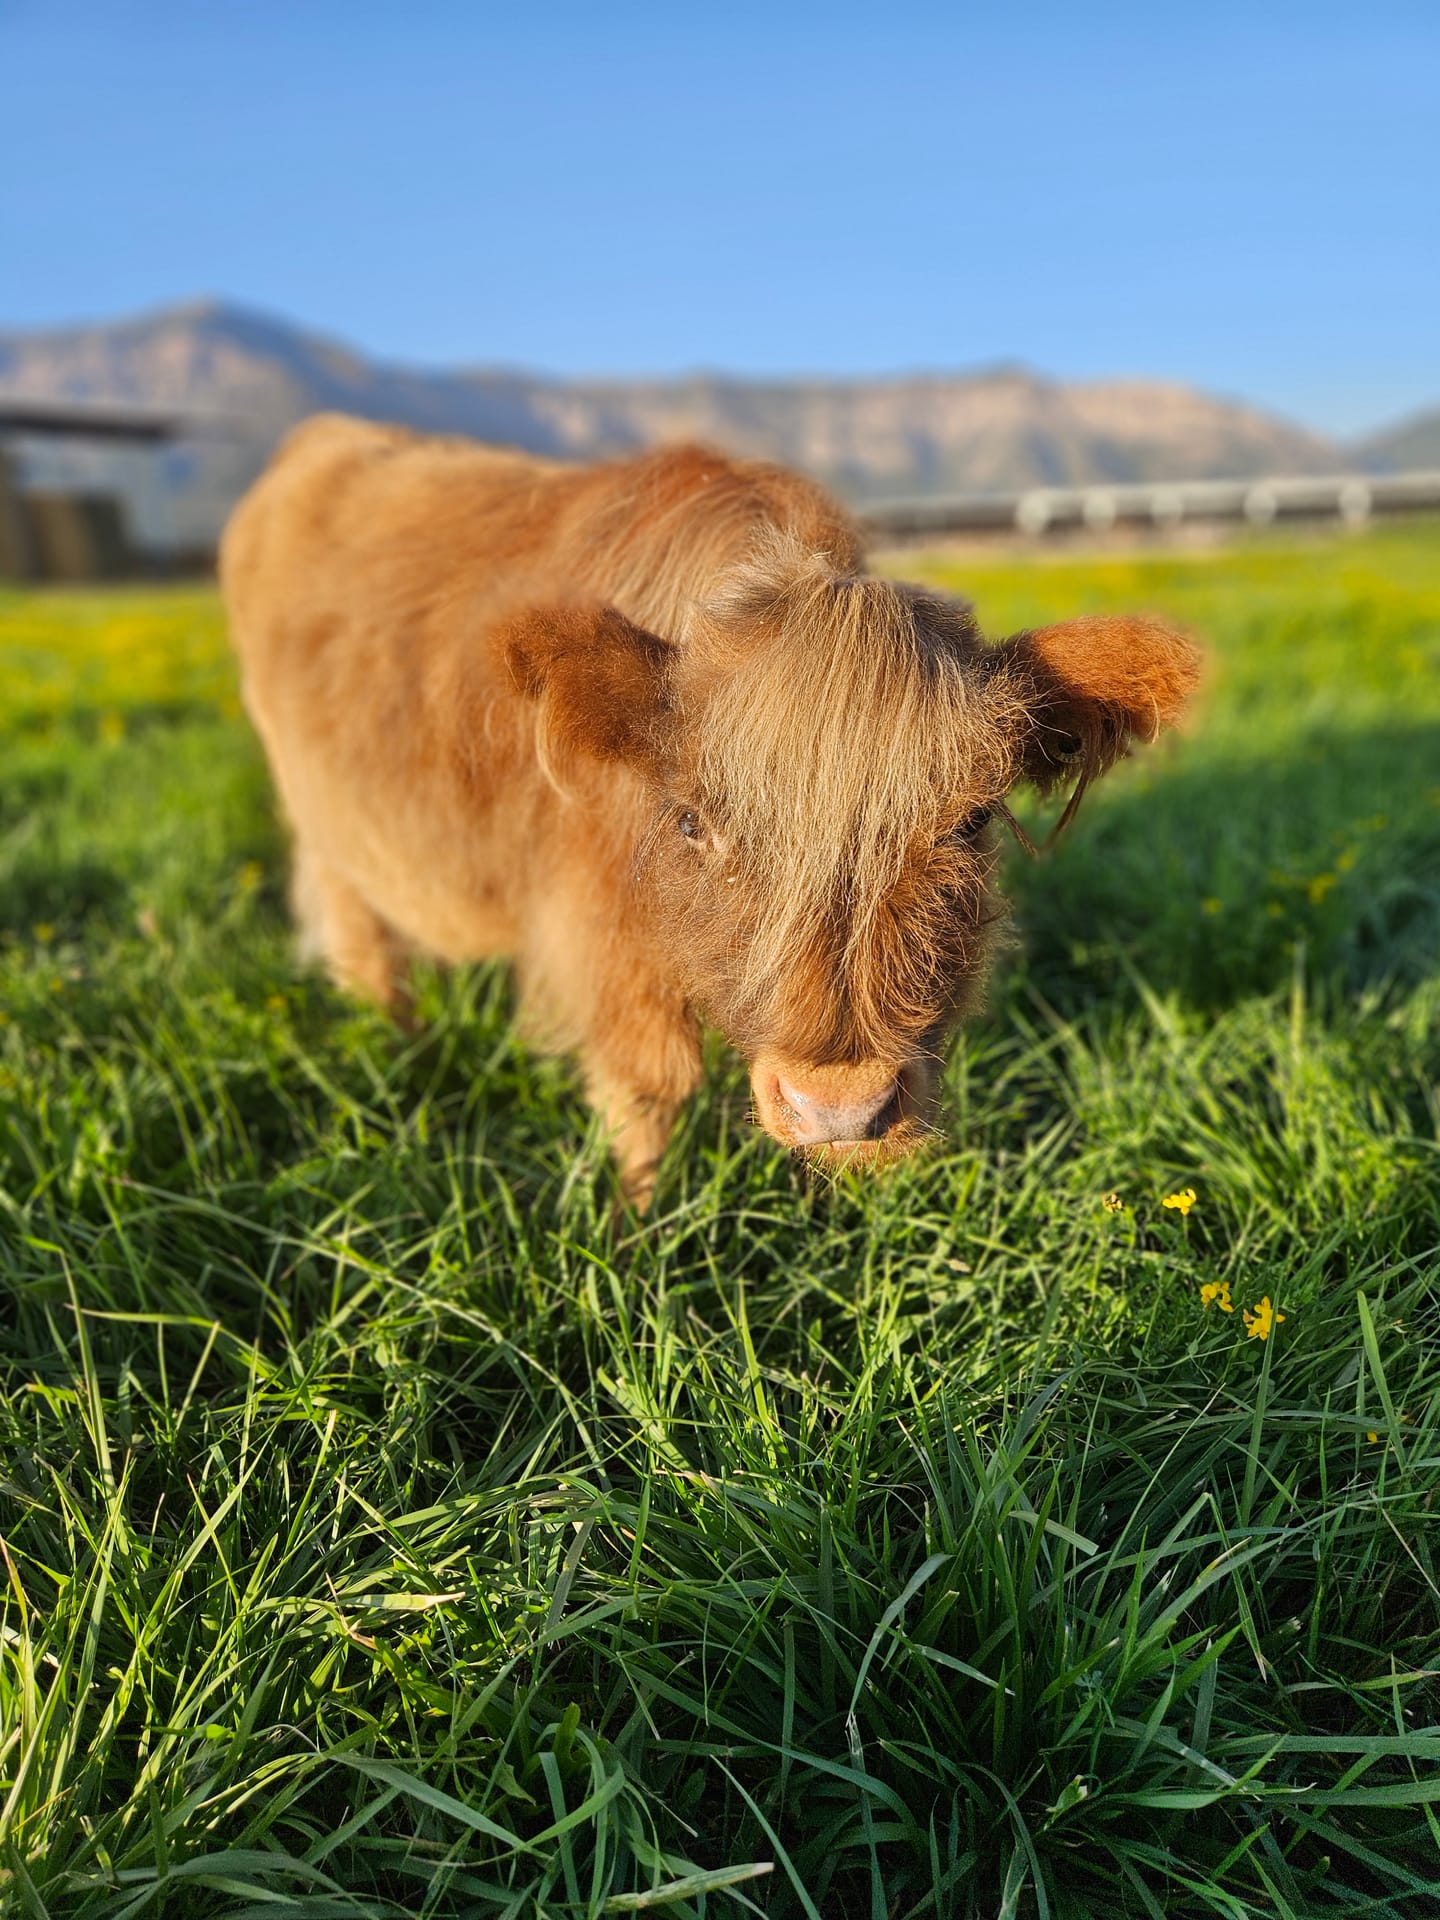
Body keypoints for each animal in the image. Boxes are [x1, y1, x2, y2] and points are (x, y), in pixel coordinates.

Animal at [221, 416, 1198, 1207]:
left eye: (972, 822)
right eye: (691, 821)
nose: (839, 1109)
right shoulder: (600, 935)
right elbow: (647, 1091)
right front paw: (633, 1234)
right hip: (321, 817)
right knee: (355, 930)